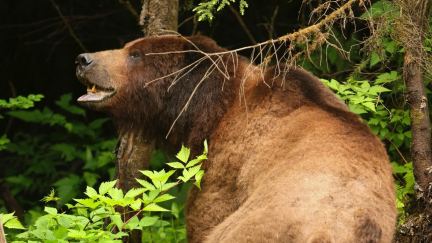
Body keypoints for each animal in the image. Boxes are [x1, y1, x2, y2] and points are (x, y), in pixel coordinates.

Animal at [75, 35, 394, 242]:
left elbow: (205, 213)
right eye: (128, 46)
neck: (213, 111)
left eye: (136, 54)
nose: (83, 59)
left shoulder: (225, 169)